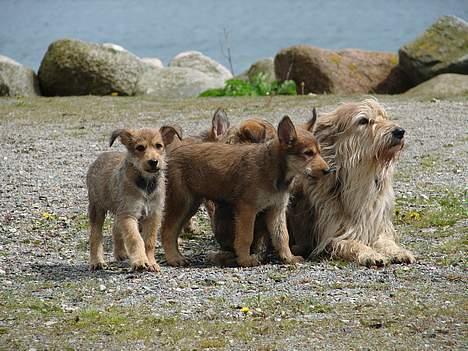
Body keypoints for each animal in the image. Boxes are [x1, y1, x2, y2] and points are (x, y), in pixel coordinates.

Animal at [87, 126, 182, 272]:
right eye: (140, 148)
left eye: (159, 146)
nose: (153, 162)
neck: (146, 184)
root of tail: (99, 158)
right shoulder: (129, 214)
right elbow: (135, 239)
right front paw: (140, 261)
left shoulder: (153, 215)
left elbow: (149, 242)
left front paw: (151, 262)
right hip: (97, 209)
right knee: (95, 235)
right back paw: (97, 262)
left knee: (115, 228)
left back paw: (120, 253)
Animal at [161, 115, 330, 266]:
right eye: (308, 153)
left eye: (319, 152)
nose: (328, 170)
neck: (274, 169)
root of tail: (169, 156)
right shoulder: (247, 209)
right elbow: (245, 236)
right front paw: (245, 260)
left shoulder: (276, 209)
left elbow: (282, 236)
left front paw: (288, 258)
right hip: (181, 202)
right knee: (167, 231)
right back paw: (174, 258)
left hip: (191, 204)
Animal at [288, 98, 416, 266]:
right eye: (363, 120)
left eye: (385, 117)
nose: (400, 131)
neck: (360, 177)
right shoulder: (328, 237)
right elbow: (351, 243)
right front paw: (370, 254)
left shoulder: (376, 227)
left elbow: (386, 241)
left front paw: (398, 251)